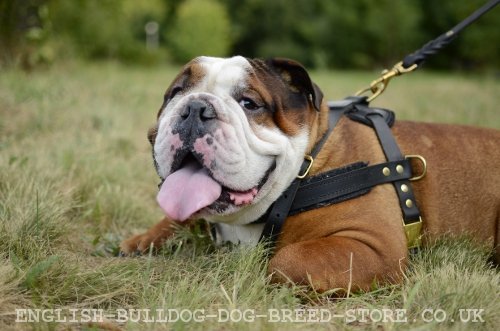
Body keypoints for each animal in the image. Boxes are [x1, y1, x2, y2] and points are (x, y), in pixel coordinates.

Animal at [121, 57, 500, 294]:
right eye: (175, 94)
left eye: (249, 103)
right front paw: (142, 240)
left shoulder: (375, 247)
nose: (195, 107)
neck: (305, 167)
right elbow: (179, 217)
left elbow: (287, 259)